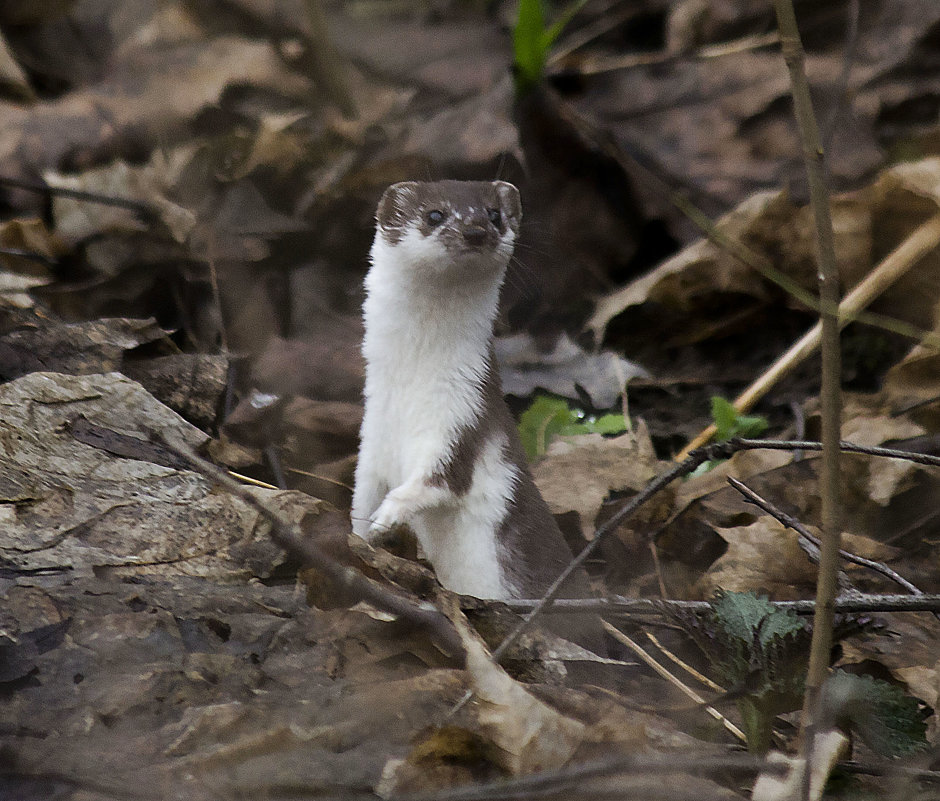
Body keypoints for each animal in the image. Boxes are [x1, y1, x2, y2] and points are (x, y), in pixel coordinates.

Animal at [348, 180, 592, 608]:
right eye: (435, 214)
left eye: (494, 214)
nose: (476, 230)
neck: (411, 386)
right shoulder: (373, 435)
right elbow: (361, 493)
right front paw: (361, 534)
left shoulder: (464, 416)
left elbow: (441, 479)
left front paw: (389, 512)